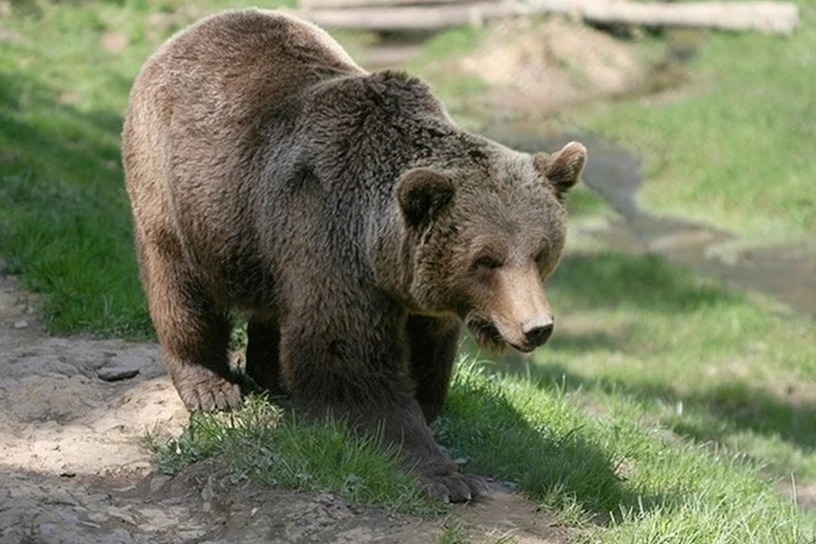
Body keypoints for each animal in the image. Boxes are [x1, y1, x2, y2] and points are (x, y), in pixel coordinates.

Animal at [122, 8, 586, 503]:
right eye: (486, 259)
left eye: (540, 252)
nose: (536, 327)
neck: (380, 252)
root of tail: (190, 31)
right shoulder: (330, 235)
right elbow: (350, 361)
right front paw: (442, 475)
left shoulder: (417, 289)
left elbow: (426, 354)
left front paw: (426, 412)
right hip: (181, 190)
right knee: (181, 286)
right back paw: (211, 387)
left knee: (274, 301)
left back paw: (272, 373)